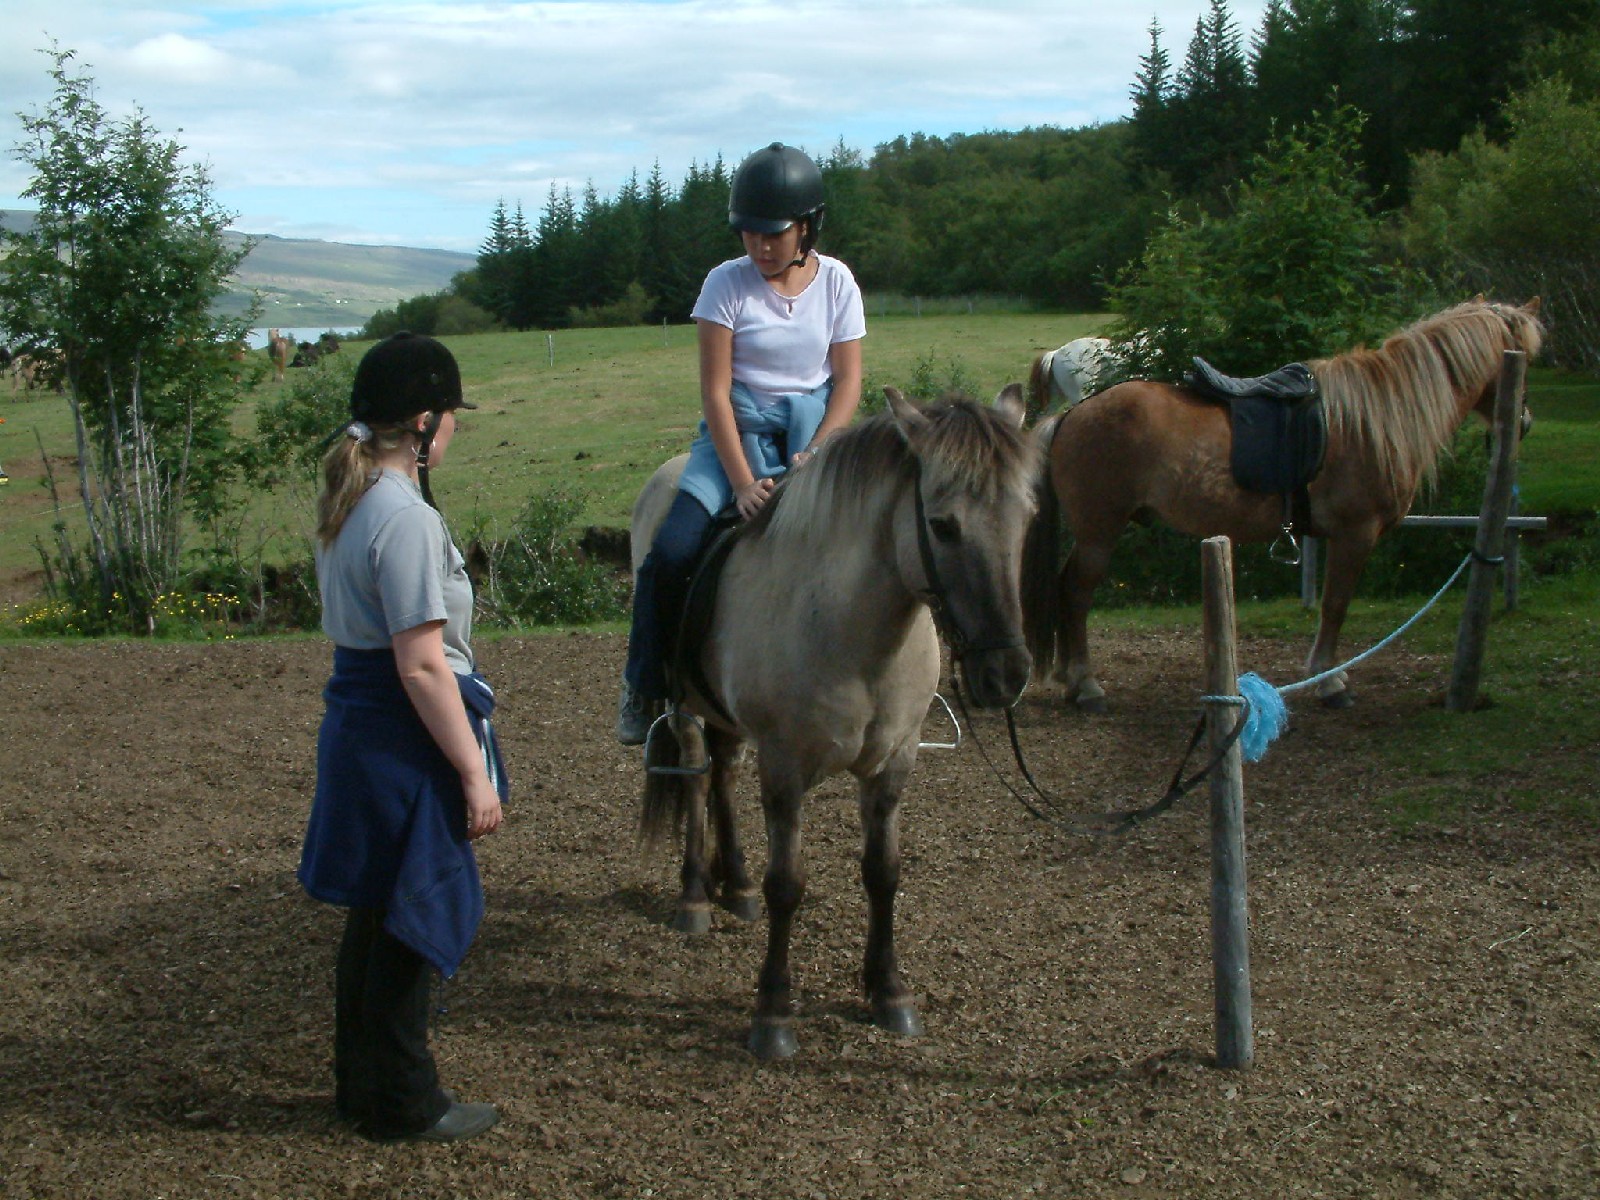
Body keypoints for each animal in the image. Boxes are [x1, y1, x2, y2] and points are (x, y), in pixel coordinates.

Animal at [636, 385, 1036, 1062]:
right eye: (943, 525)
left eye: (1027, 518)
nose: (1006, 674)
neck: (851, 632)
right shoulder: (785, 769)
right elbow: (787, 885)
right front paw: (773, 1012)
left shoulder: (892, 767)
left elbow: (883, 873)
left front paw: (888, 991)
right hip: (685, 705)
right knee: (696, 776)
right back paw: (694, 894)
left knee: (723, 772)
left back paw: (733, 884)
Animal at [1017, 299, 1542, 710]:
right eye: (1520, 361)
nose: (1525, 423)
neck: (1376, 417)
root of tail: (1073, 415)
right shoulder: (1355, 534)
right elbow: (1335, 606)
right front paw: (1330, 681)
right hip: (1099, 532)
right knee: (1076, 594)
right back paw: (1086, 686)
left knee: (1066, 592)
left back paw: (1071, 678)